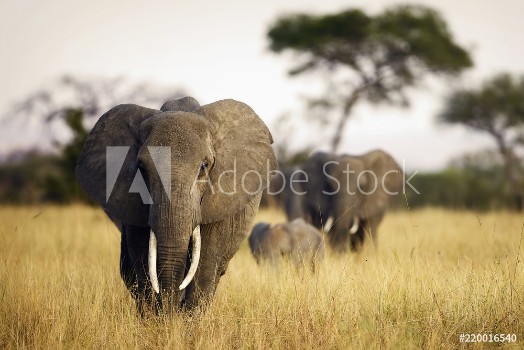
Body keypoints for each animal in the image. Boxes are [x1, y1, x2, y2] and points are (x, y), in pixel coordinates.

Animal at [76, 96, 278, 314]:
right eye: (141, 168)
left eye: (204, 167)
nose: (171, 312)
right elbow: (142, 260)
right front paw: (157, 319)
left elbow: (205, 266)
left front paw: (185, 321)